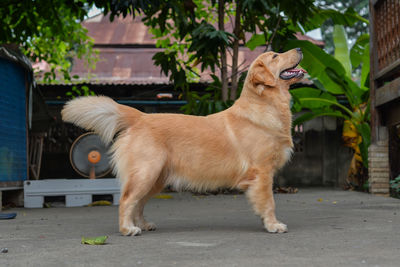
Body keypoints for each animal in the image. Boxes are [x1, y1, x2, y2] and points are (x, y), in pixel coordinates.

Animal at [62, 48, 304, 237]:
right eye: (275, 55)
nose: (300, 49)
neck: (266, 105)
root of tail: (141, 116)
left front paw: (266, 222)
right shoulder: (262, 172)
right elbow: (269, 202)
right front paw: (273, 225)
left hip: (156, 177)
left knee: (138, 203)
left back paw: (143, 224)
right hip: (146, 172)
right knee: (127, 199)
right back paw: (127, 229)